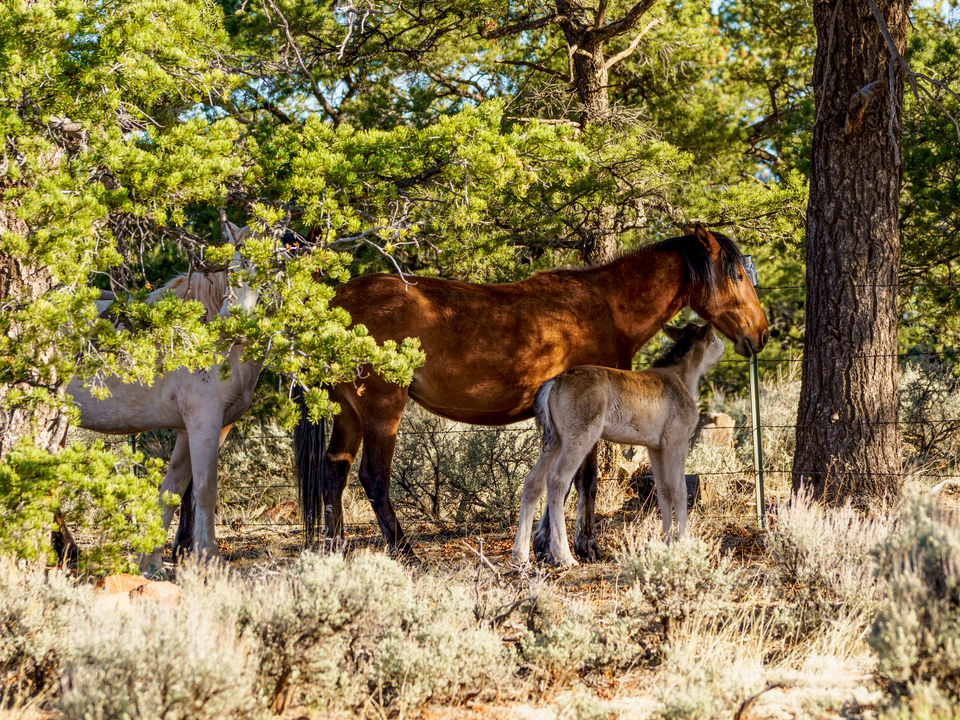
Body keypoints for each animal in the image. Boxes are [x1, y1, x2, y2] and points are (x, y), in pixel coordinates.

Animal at [66, 222, 262, 575]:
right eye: (231, 266)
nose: (235, 320)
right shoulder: (203, 422)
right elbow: (205, 490)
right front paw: (209, 560)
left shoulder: (196, 429)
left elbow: (173, 489)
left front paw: (151, 563)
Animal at [512, 322, 724, 566]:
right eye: (713, 338)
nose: (723, 347)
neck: (680, 379)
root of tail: (554, 382)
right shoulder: (676, 441)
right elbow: (679, 490)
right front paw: (685, 544)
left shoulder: (655, 447)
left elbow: (663, 491)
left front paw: (667, 543)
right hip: (579, 438)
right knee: (557, 481)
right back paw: (564, 556)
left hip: (555, 441)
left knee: (533, 482)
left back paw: (520, 555)